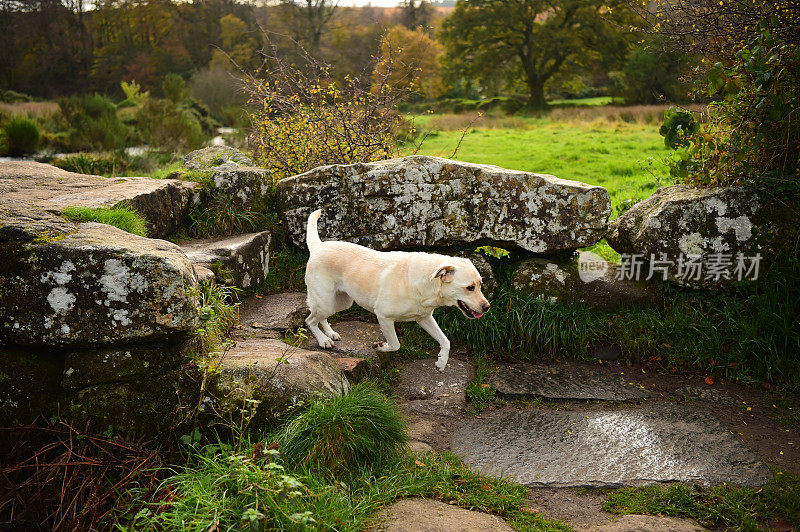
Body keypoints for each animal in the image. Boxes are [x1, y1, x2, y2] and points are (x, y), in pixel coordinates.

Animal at [304, 208, 488, 370]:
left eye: (480, 284)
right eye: (469, 288)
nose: (487, 307)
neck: (426, 283)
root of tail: (318, 246)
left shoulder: (424, 318)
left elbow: (446, 341)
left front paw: (441, 363)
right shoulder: (383, 317)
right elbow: (395, 344)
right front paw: (381, 346)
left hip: (341, 302)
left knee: (320, 316)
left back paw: (330, 333)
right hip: (327, 301)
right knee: (310, 320)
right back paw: (323, 340)